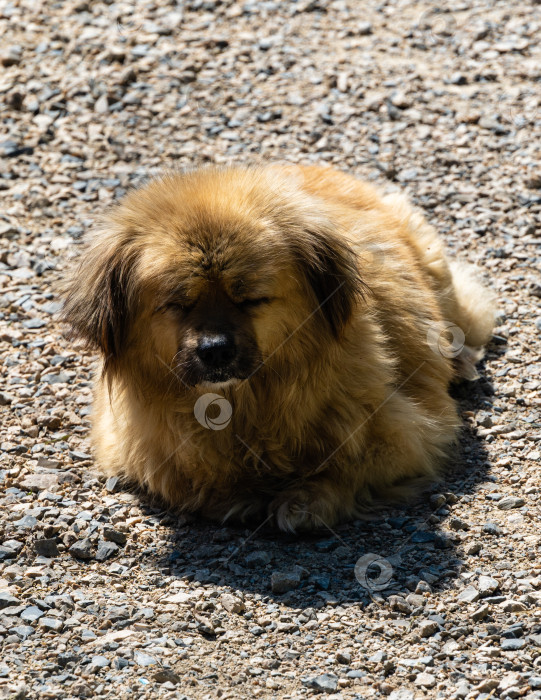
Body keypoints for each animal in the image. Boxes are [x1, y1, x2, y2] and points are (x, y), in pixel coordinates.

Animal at [61, 165, 496, 532]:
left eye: (251, 300)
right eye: (178, 304)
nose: (215, 349)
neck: (246, 404)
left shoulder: (413, 434)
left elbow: (347, 466)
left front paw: (306, 499)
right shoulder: (138, 451)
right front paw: (239, 497)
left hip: (433, 268)